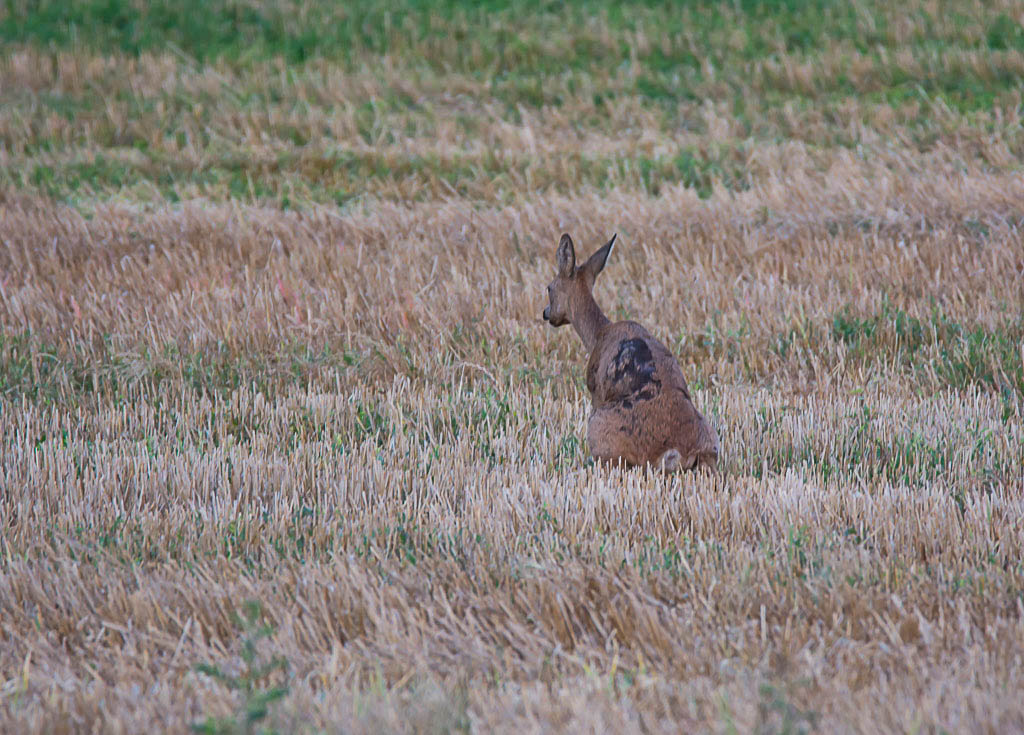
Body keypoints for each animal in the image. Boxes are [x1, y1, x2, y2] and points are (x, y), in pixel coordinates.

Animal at [544, 234, 720, 472]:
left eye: (549, 288)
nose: (546, 314)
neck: (597, 334)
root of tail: (677, 452)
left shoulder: (595, 389)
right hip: (712, 439)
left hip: (600, 428)